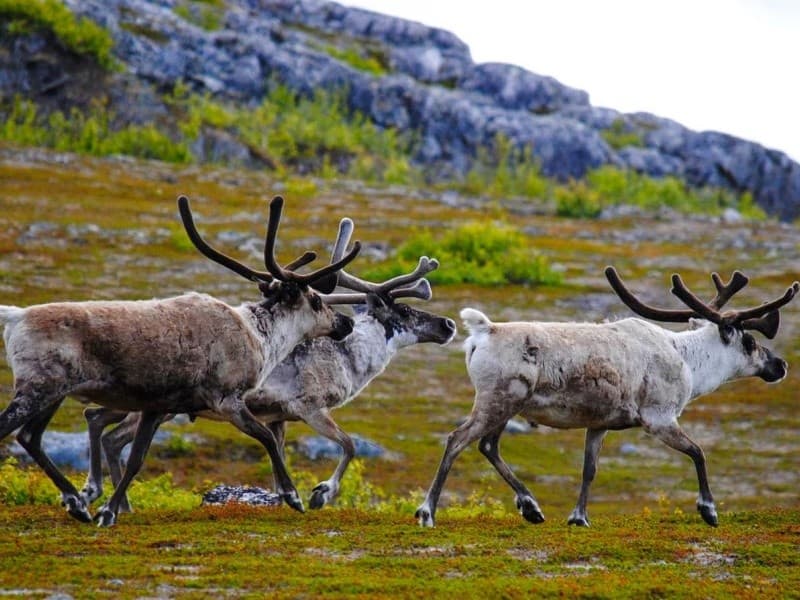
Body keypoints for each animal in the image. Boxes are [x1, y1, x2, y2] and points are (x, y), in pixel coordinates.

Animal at [0, 194, 363, 526]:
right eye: (316, 301)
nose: (346, 322)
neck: (261, 337)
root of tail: (16, 316)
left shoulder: (157, 405)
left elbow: (137, 458)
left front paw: (109, 510)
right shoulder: (226, 399)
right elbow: (267, 438)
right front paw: (294, 496)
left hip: (55, 392)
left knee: (30, 437)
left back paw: (76, 502)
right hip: (39, 388)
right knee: (17, 431)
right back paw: (76, 500)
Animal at [80, 217, 457, 512]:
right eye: (405, 310)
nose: (448, 325)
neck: (350, 357)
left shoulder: (277, 416)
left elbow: (279, 461)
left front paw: (288, 497)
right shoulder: (309, 407)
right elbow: (349, 445)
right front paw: (320, 493)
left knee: (97, 419)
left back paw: (108, 498)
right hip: (160, 407)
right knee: (112, 435)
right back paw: (115, 501)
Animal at [415, 267, 798, 528]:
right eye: (749, 341)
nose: (780, 365)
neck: (689, 360)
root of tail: (485, 330)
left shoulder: (599, 424)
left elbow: (589, 470)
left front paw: (578, 517)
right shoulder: (659, 418)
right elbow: (698, 452)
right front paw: (709, 509)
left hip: (509, 405)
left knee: (488, 446)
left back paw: (531, 506)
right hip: (497, 400)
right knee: (458, 439)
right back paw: (428, 511)